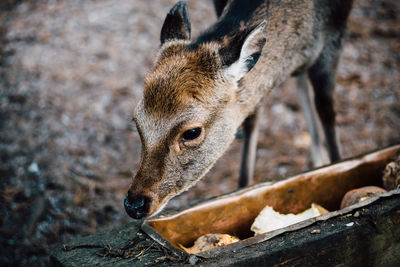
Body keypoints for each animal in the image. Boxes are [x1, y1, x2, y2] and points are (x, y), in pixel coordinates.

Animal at [124, 0, 354, 220]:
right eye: (136, 120)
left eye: (192, 132)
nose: (134, 204)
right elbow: (252, 119)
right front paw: (243, 189)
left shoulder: (335, 35)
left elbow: (326, 110)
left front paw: (336, 165)